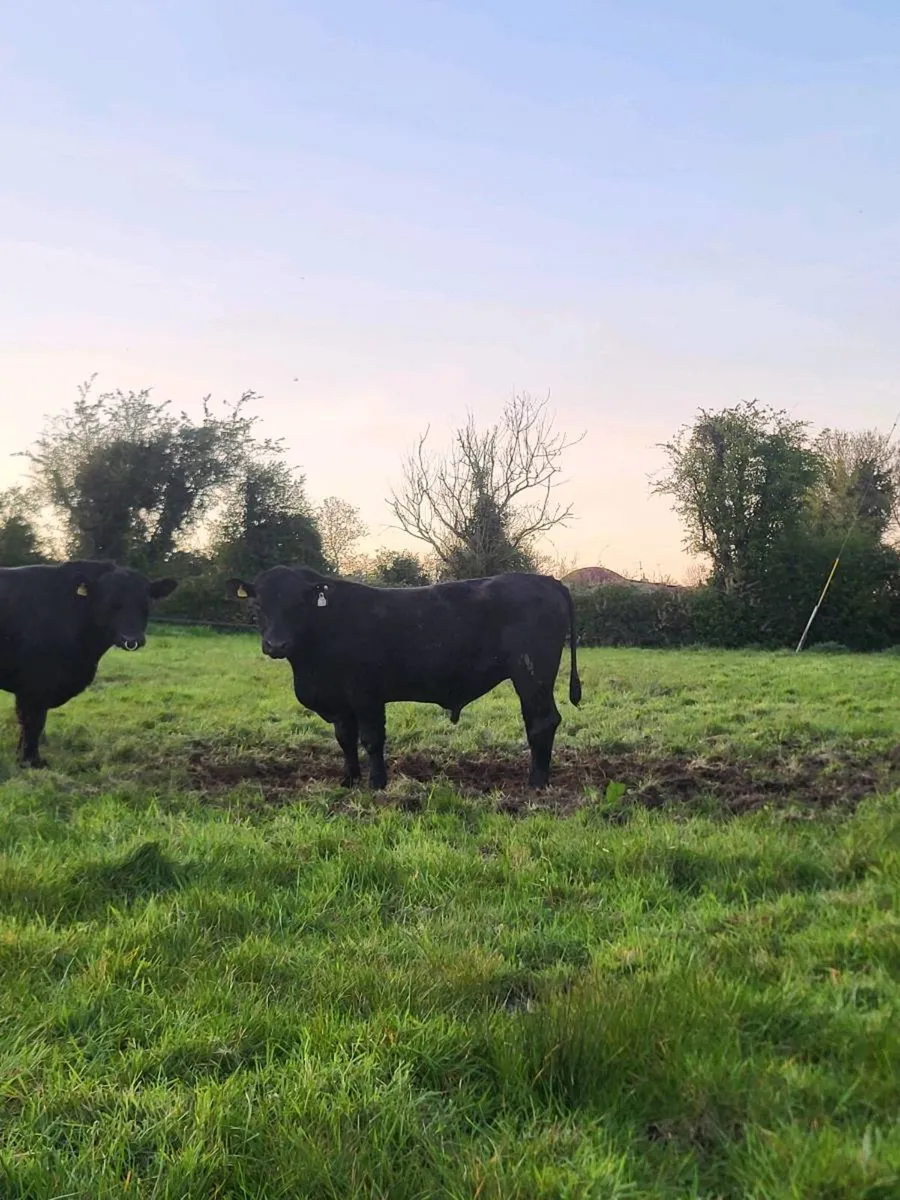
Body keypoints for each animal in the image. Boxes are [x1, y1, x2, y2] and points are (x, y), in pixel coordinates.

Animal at [0, 559, 178, 767]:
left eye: (145, 603)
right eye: (110, 602)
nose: (132, 639)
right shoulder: (35, 683)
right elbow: (33, 722)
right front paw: (31, 761)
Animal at [226, 566, 582, 790]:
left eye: (298, 604)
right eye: (258, 604)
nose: (276, 644)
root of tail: (546, 580)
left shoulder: (366, 695)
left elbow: (371, 740)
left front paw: (377, 784)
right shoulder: (340, 703)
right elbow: (345, 740)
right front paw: (349, 781)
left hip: (532, 676)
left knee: (542, 723)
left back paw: (535, 783)